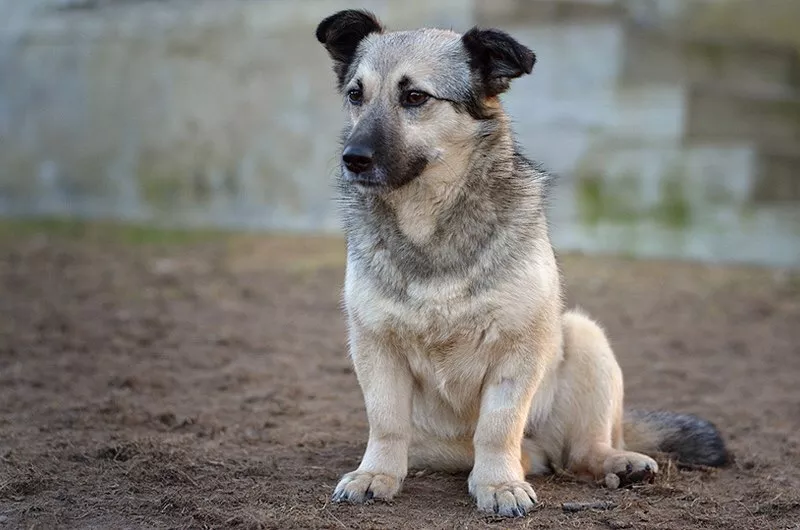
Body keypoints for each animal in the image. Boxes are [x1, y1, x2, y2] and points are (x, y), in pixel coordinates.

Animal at [316, 9, 728, 516]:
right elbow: (387, 423)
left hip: (583, 335)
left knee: (582, 451)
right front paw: (376, 475)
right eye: (357, 94)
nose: (352, 158)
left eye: (414, 97)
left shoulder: (518, 349)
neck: (429, 223)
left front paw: (498, 483)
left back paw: (614, 462)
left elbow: (497, 428)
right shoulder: (376, 347)